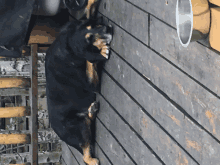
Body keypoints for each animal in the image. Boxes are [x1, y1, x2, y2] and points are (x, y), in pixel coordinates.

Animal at [45, 9, 113, 165]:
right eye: (89, 38)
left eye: (92, 26)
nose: (108, 28)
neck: (66, 45)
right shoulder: (92, 85)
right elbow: (90, 61)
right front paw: (100, 50)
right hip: (80, 127)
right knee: (85, 156)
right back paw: (92, 160)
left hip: (84, 123)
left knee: (89, 119)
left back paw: (92, 109)